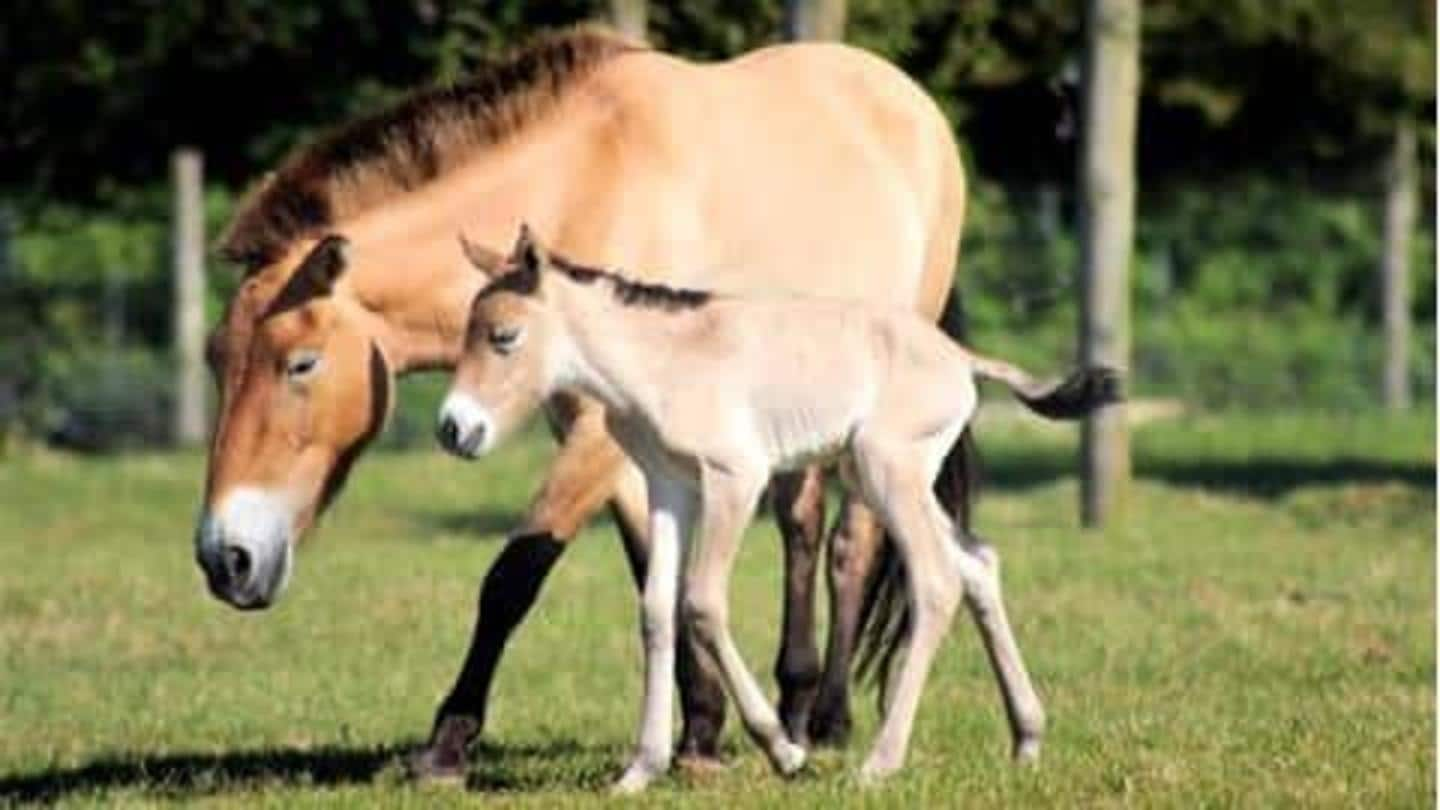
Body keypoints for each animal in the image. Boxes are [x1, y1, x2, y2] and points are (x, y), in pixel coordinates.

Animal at [194, 28, 967, 778]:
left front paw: (446, 745)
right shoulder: (622, 440)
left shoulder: (599, 437)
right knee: (801, 522)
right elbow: (656, 578)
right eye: (214, 362)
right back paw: (797, 703)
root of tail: (909, 101)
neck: (584, 191)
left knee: (851, 543)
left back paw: (831, 721)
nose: (225, 559)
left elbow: (513, 576)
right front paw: (701, 733)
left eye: (300, 363)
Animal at [437, 224, 1123, 789]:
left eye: (504, 337)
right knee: (979, 562)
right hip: (878, 476)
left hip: (888, 473)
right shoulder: (670, 486)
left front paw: (783, 750)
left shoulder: (735, 478)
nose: (454, 429)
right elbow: (657, 611)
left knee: (936, 579)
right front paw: (640, 770)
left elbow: (701, 604)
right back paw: (1027, 739)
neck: (663, 360)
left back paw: (880, 763)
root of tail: (961, 359)